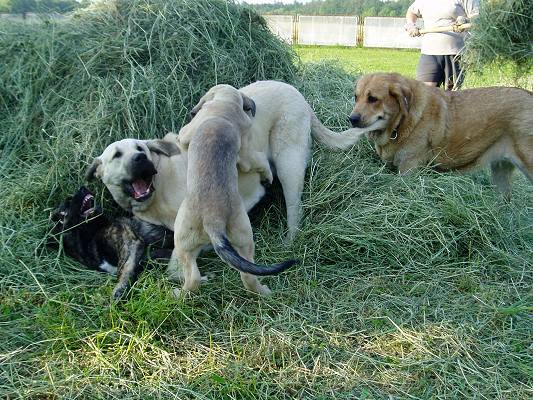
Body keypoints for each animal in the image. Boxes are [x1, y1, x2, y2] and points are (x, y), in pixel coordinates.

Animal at [169, 85, 296, 296]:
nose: (192, 112)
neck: (226, 106)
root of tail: (214, 222)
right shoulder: (246, 157)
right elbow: (260, 162)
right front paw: (267, 176)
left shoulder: (187, 132)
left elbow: (181, 136)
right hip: (242, 237)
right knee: (246, 276)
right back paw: (264, 291)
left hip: (181, 238)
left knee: (192, 277)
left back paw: (178, 294)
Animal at [350, 73, 532, 197]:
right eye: (356, 97)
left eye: (373, 99)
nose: (351, 119)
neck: (402, 122)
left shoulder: (408, 168)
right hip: (500, 174)